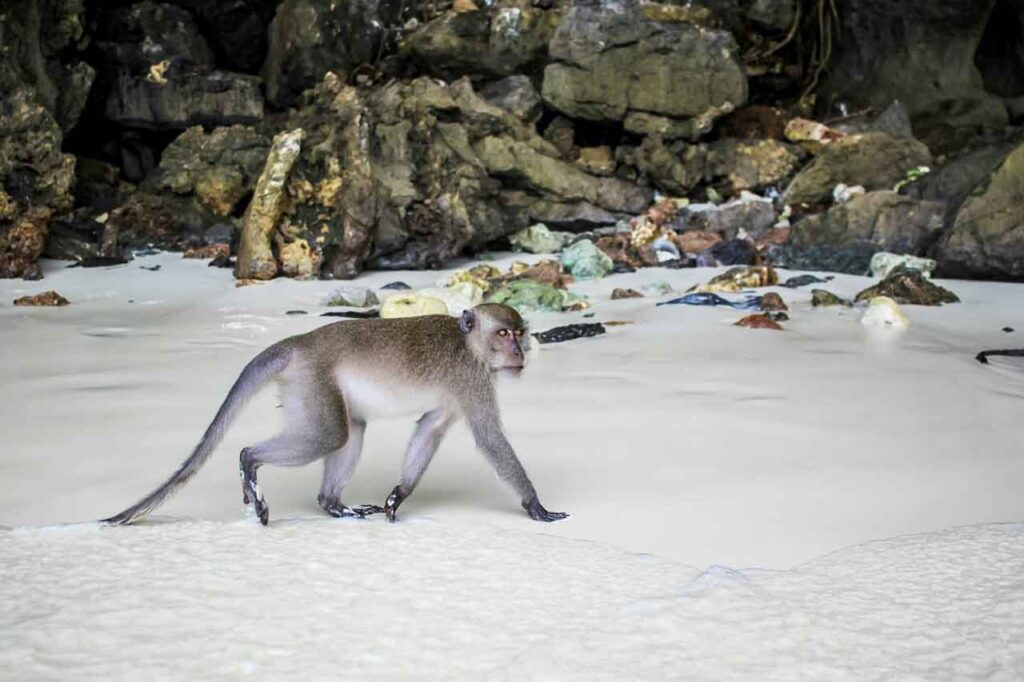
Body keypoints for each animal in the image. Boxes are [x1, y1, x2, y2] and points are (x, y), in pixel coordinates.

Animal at [101, 303, 569, 524]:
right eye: (503, 333)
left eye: (520, 333)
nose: (518, 352)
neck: (470, 345)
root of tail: (299, 342)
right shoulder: (472, 379)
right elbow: (490, 439)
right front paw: (535, 504)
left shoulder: (458, 393)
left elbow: (430, 429)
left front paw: (399, 493)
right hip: (312, 380)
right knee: (330, 436)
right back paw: (249, 461)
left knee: (351, 430)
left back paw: (332, 504)